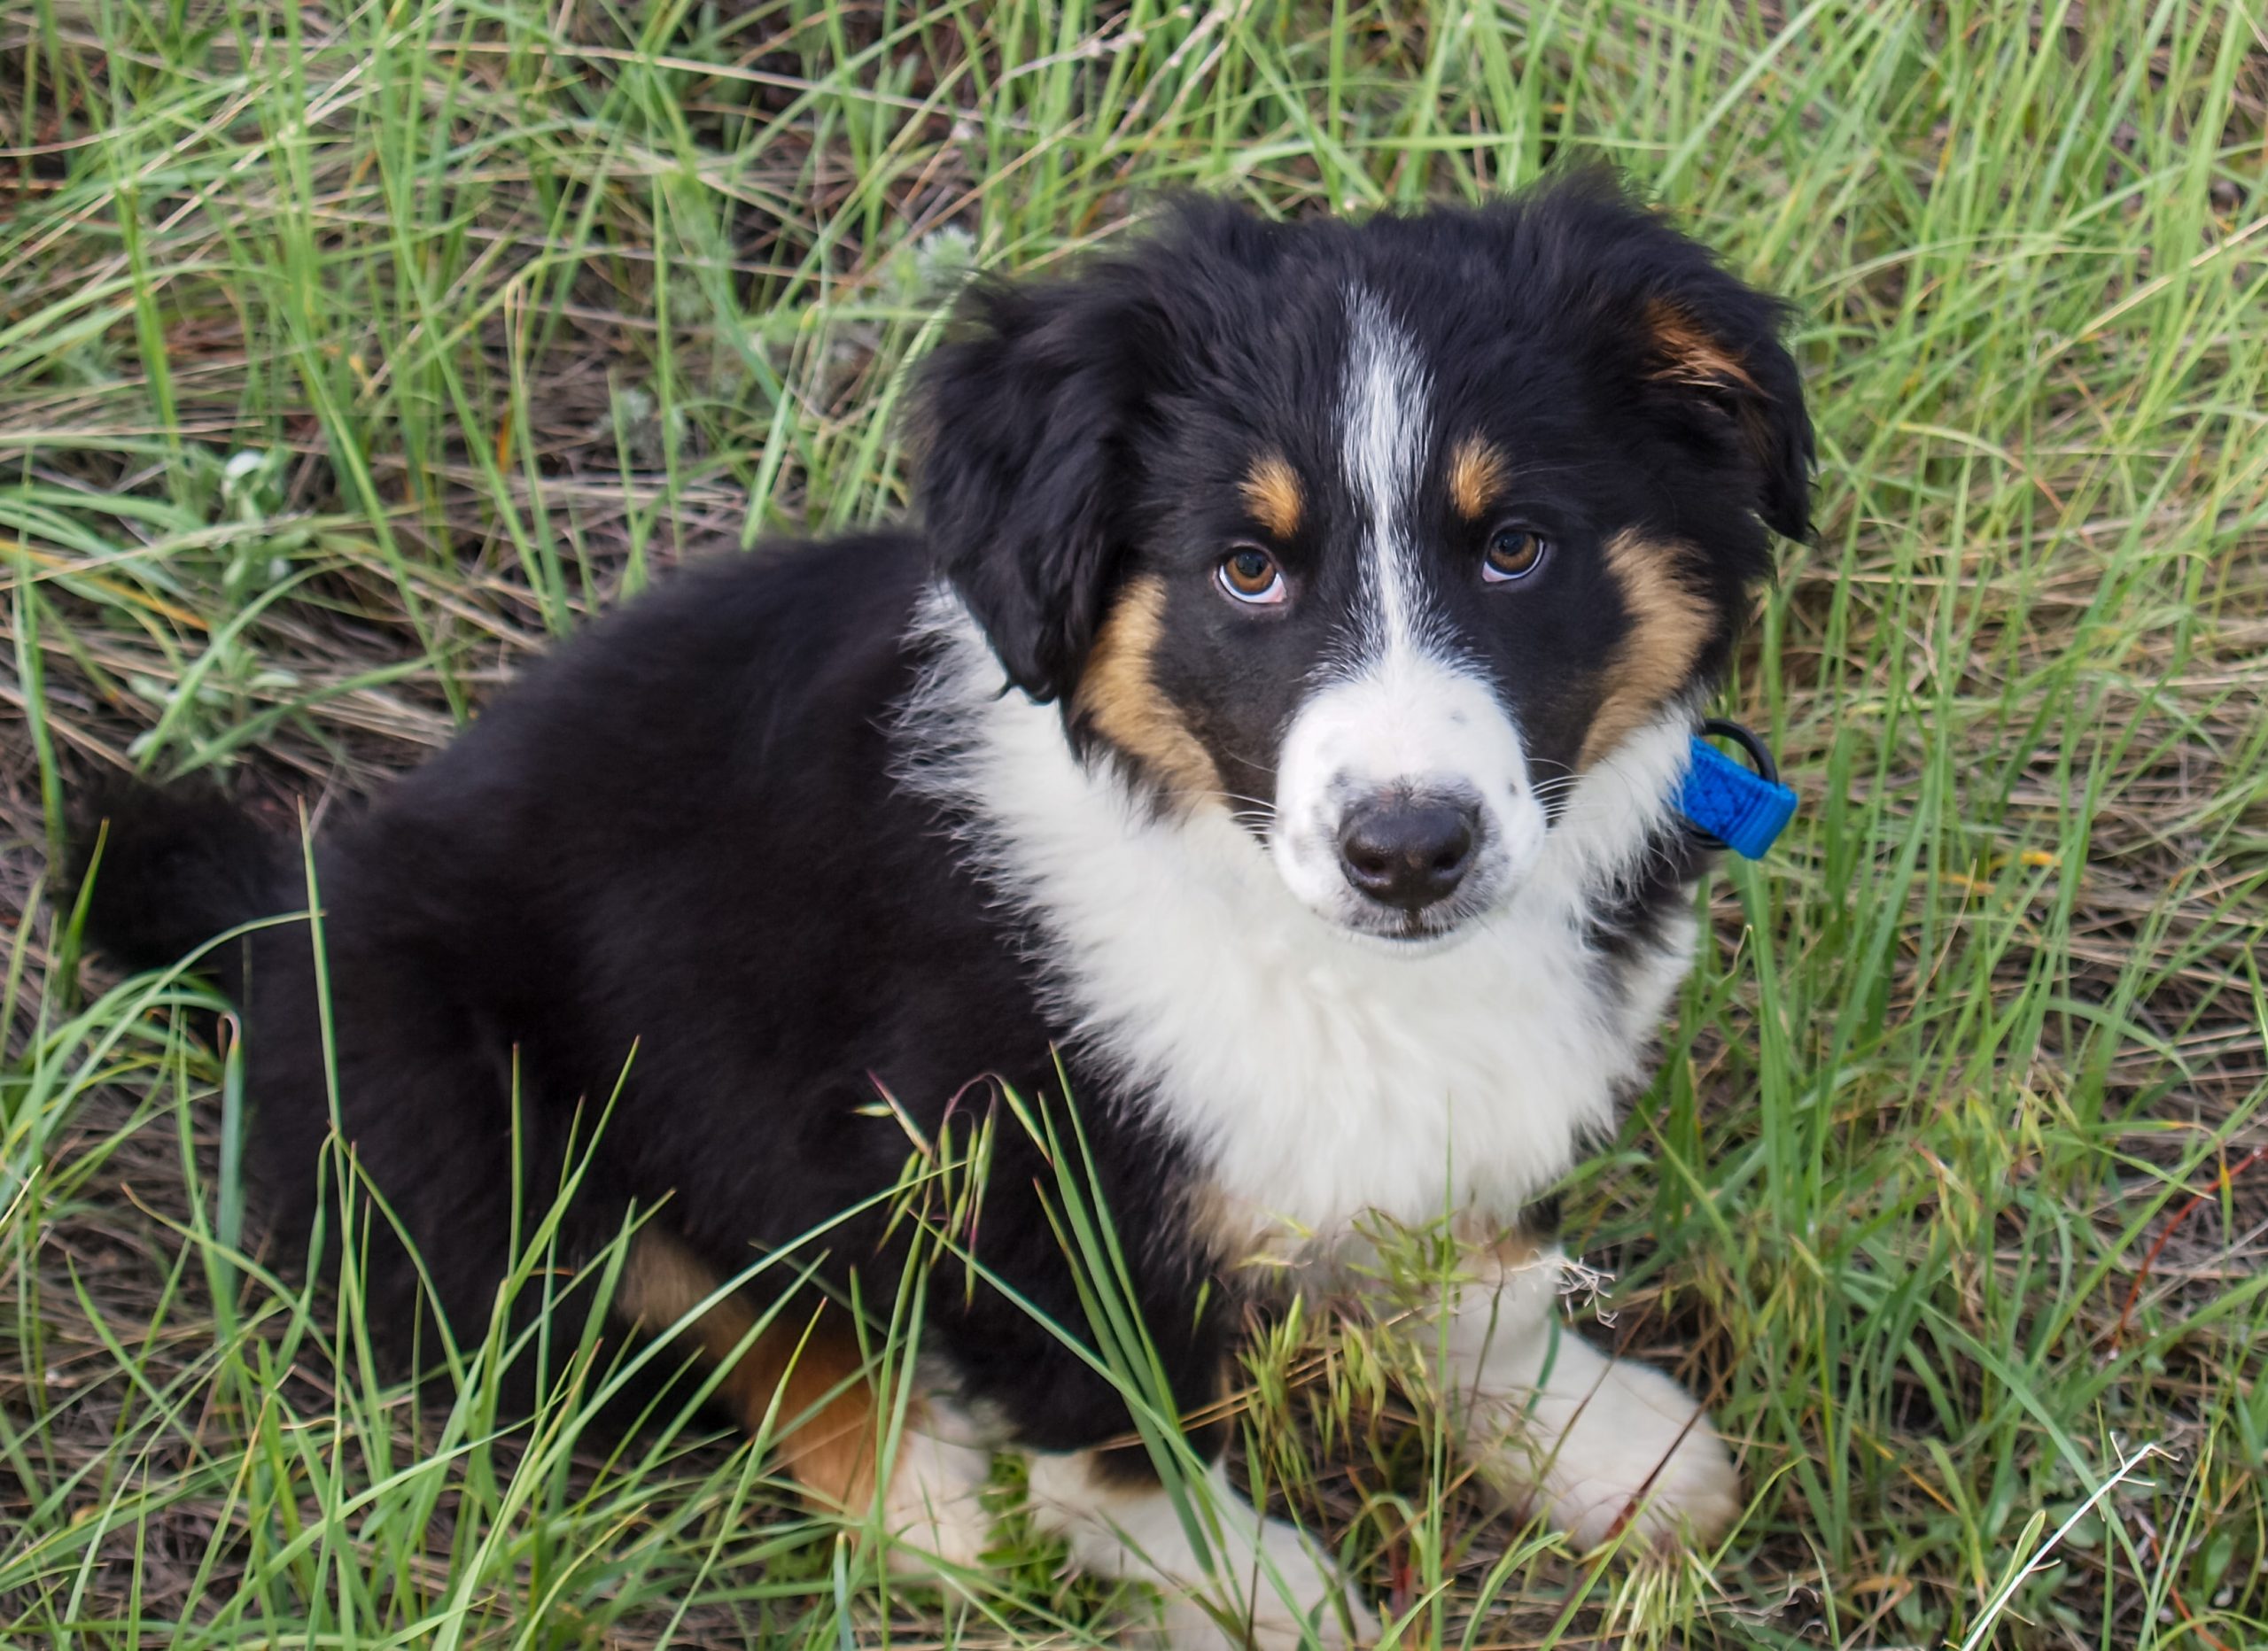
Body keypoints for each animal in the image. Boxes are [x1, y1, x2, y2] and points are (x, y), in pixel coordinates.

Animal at [75, 174, 1805, 1641]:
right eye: (1247, 570)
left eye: (1516, 548)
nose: (1409, 848)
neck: (1269, 900)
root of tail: (292, 908)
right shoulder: (1001, 1169)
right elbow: (1121, 1427)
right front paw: (1243, 1591)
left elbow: (1483, 1270)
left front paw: (1591, 1442)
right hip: (473, 1130)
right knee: (698, 1308)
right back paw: (920, 1491)